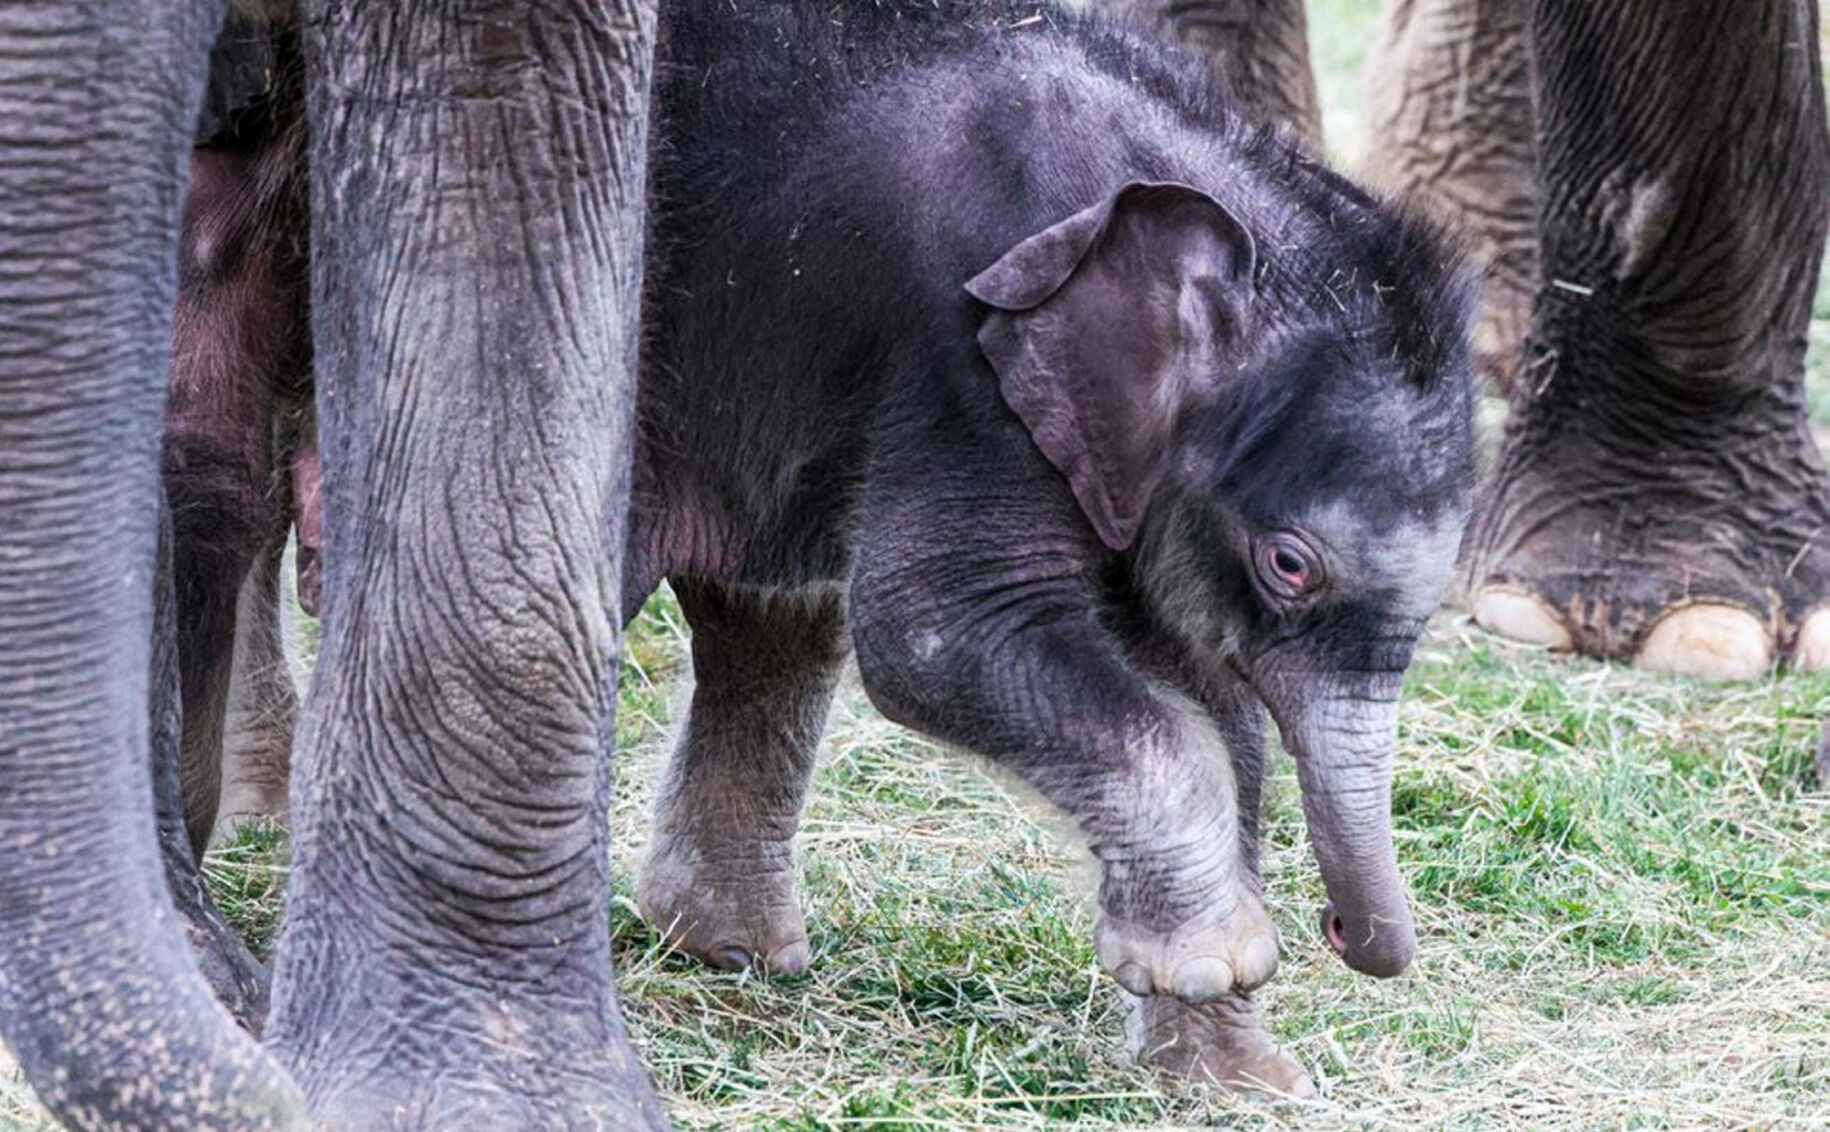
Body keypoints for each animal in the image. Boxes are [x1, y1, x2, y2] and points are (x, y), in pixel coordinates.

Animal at [636, 0, 1478, 1097]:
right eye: (1290, 566)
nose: (1341, 930)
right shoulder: (959, 369)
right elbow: (932, 638)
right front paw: (1217, 959)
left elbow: (1210, 708)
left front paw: (1244, 1082)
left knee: (770, 621)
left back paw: (724, 951)